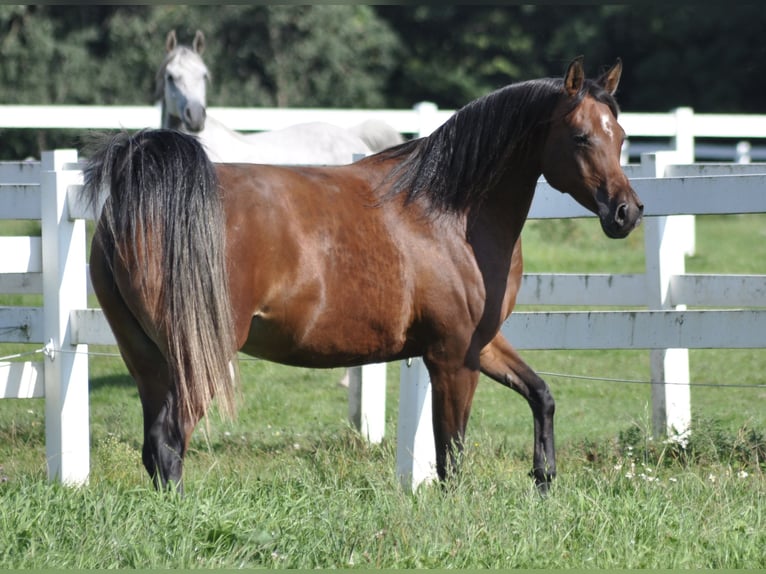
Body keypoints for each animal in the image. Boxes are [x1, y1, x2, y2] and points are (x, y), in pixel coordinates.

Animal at [84, 56, 642, 492]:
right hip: (200, 357)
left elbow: (541, 394)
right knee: (171, 441)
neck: (448, 213)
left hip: (149, 360)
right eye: (580, 136)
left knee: (155, 444)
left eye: (621, 136)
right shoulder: (451, 359)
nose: (626, 212)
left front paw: (544, 477)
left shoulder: (478, 343)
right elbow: (451, 457)